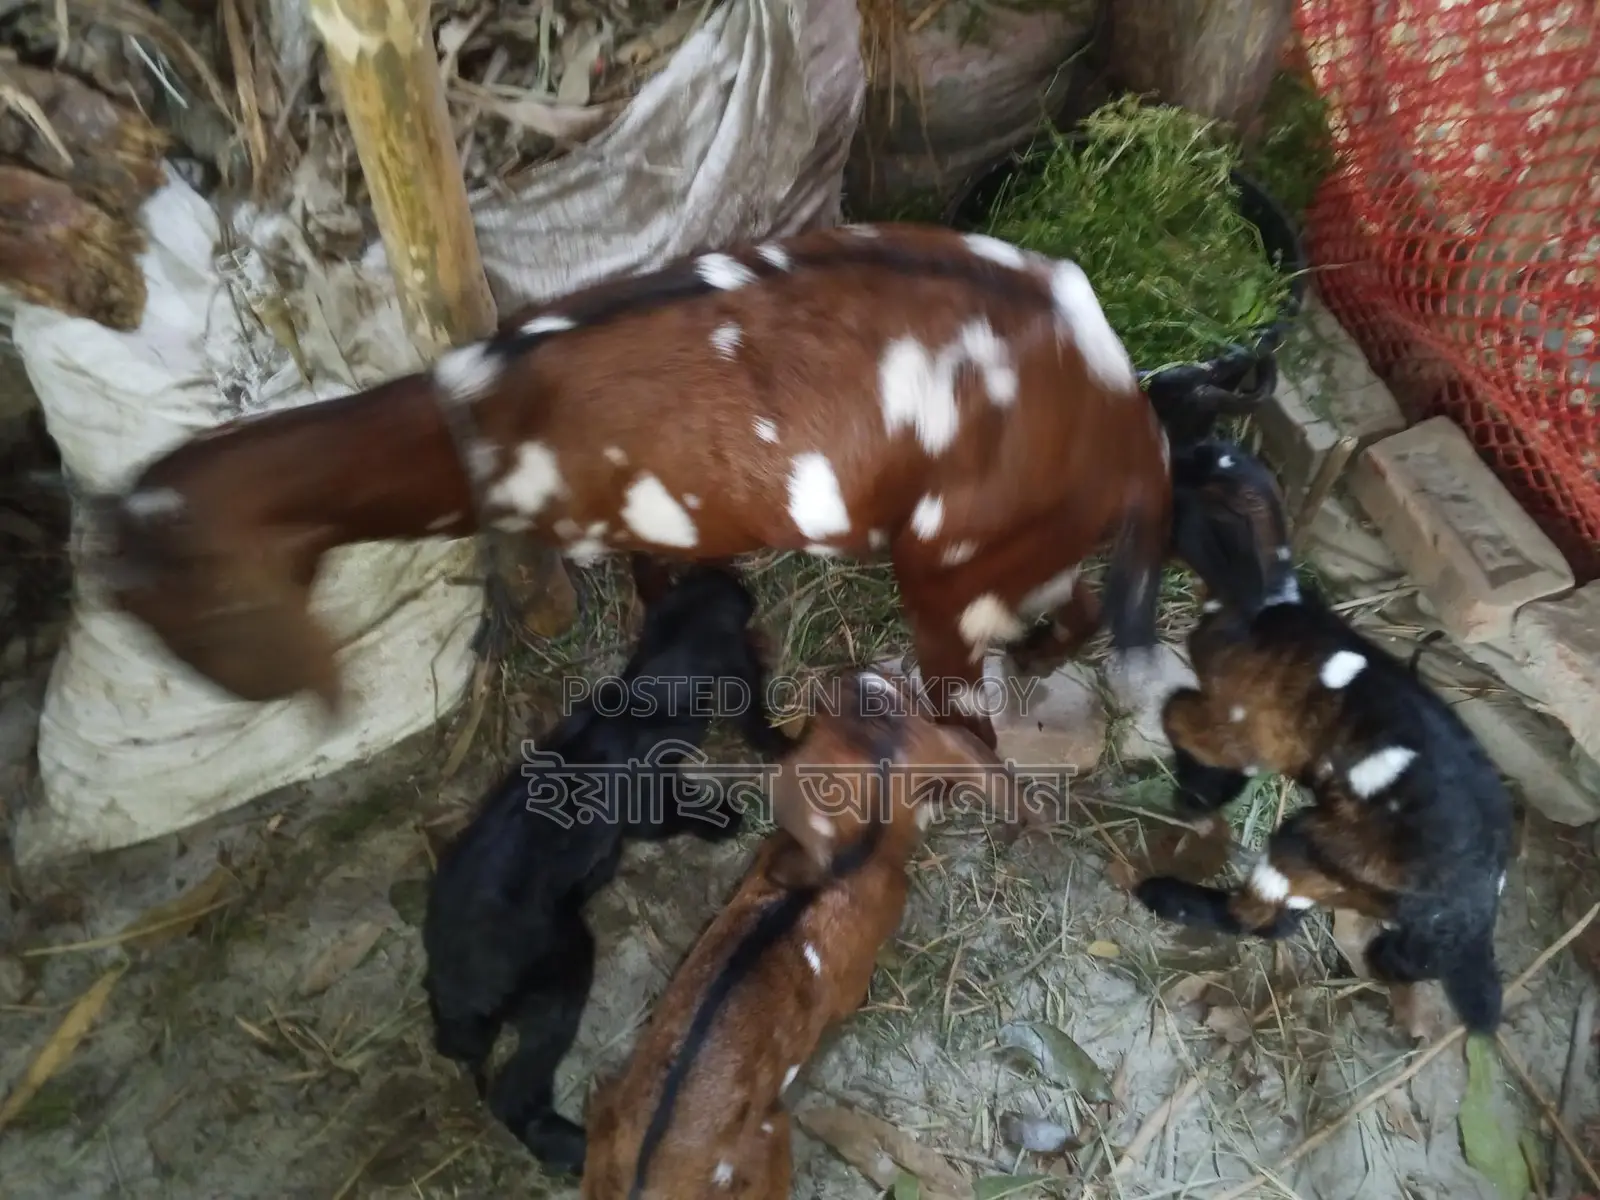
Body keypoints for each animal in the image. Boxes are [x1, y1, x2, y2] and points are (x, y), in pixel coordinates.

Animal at [94, 222, 1178, 750]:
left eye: (172, 616)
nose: (249, 700)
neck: (485, 414)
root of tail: (1126, 416)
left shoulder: (645, 528)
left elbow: (663, 601)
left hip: (952, 568)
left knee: (966, 709)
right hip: (1020, 549)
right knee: (1078, 609)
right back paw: (1036, 661)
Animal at [422, 560, 790, 1173]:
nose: (738, 585)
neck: (639, 705)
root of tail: (452, 992)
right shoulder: (647, 804)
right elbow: (682, 812)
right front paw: (728, 815)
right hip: (564, 970)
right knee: (513, 1092)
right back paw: (572, 1147)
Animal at [1132, 439, 1514, 1035]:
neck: (1265, 602)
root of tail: (1474, 906)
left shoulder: (1242, 722)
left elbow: (1178, 713)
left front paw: (1192, 794)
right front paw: (1210, 792)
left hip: (1315, 845)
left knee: (1260, 916)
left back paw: (1166, 895)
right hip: (1345, 875)